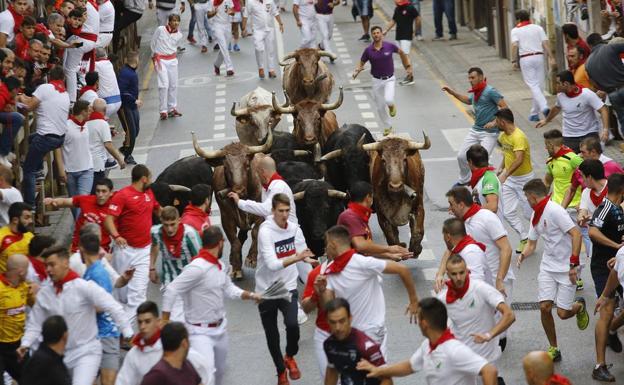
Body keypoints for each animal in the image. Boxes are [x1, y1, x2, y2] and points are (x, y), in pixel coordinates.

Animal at [190, 130, 272, 280]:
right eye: (226, 167)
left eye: (246, 164)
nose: (238, 190)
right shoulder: (226, 218)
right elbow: (235, 241)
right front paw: (236, 266)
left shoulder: (261, 214)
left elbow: (255, 233)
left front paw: (251, 258)